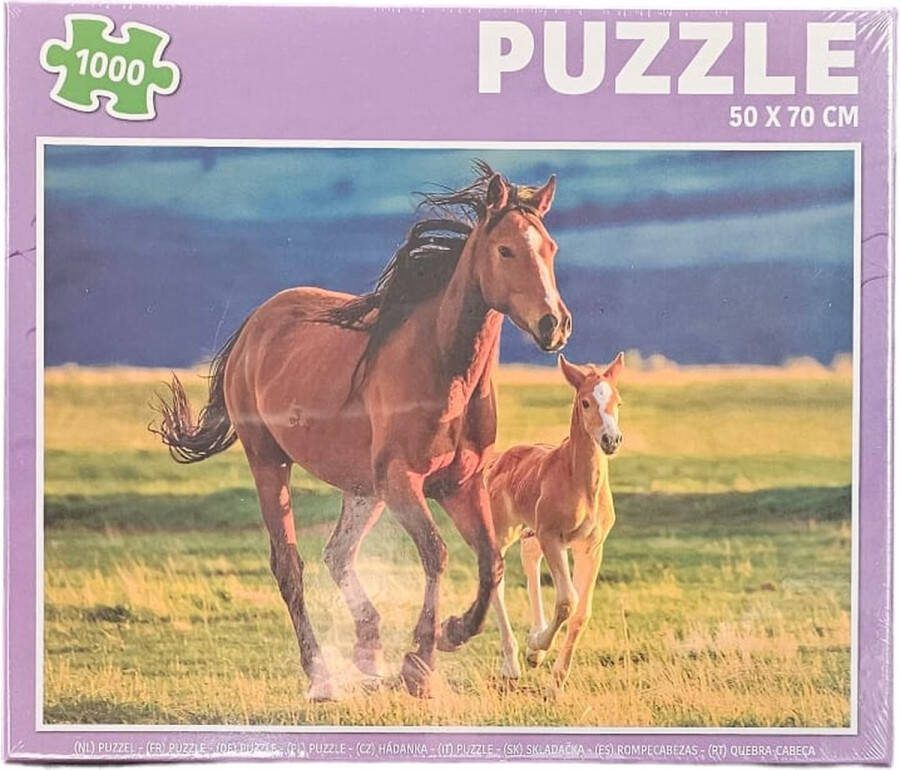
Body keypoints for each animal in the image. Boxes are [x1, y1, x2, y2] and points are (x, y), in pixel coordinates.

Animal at [152, 162, 572, 700]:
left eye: (551, 248)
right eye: (505, 250)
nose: (554, 325)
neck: (444, 369)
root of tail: (254, 325)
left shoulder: (460, 485)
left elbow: (491, 562)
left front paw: (452, 632)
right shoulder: (403, 482)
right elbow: (436, 554)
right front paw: (420, 664)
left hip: (363, 488)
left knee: (338, 553)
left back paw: (368, 652)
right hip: (271, 463)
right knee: (290, 566)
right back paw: (321, 675)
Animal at [486, 353, 624, 689]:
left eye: (618, 401)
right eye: (585, 402)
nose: (611, 440)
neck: (582, 484)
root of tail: (500, 460)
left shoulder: (591, 546)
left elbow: (582, 611)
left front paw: (555, 680)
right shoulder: (553, 537)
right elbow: (566, 601)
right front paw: (537, 648)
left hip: (531, 533)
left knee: (530, 561)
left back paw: (533, 645)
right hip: (505, 531)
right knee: (496, 577)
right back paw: (512, 664)